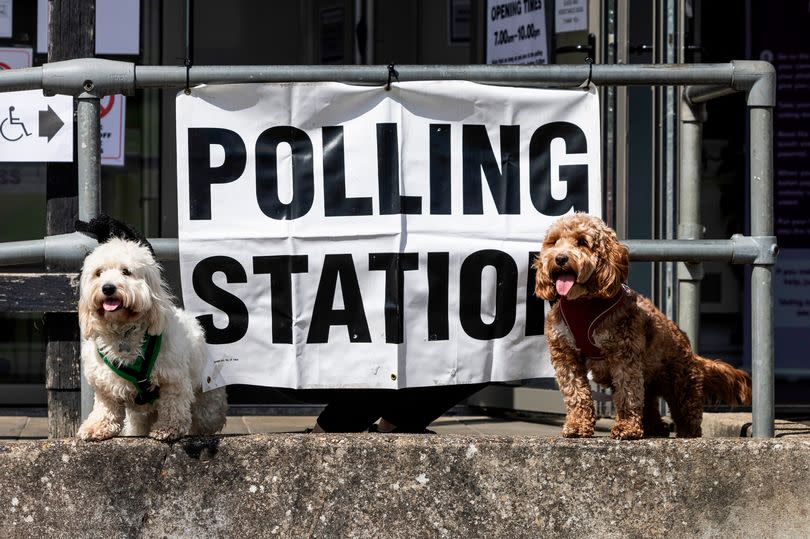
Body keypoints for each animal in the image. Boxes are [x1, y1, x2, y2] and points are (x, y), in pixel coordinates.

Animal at [77, 238, 226, 440]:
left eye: (126, 271)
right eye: (98, 273)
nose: (107, 288)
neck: (124, 333)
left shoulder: (172, 378)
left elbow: (172, 406)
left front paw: (168, 428)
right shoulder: (105, 383)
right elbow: (105, 406)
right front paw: (96, 426)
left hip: (207, 407)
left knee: (204, 420)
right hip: (138, 419)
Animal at [532, 212, 752, 438]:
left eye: (582, 242)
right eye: (554, 242)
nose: (560, 258)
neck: (584, 302)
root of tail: (689, 349)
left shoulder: (623, 353)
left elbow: (627, 393)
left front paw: (626, 428)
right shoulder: (566, 353)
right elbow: (576, 392)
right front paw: (577, 425)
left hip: (680, 383)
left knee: (685, 414)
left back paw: (684, 433)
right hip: (652, 382)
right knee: (650, 406)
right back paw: (656, 428)